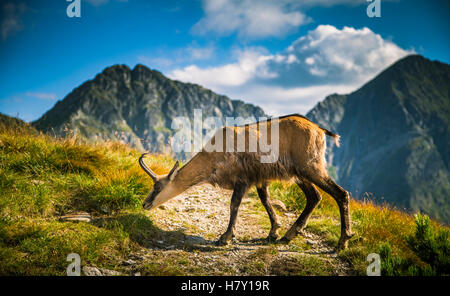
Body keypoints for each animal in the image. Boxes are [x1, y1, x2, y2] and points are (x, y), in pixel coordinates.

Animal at [139, 114, 354, 249]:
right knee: (314, 197)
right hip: (299, 174)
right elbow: (265, 201)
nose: (145, 204)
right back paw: (289, 235)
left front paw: (225, 237)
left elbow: (234, 204)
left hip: (311, 168)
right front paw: (273, 232)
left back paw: (342, 242)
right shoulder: (260, 180)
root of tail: (319, 129)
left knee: (340, 194)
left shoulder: (242, 179)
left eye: (157, 186)